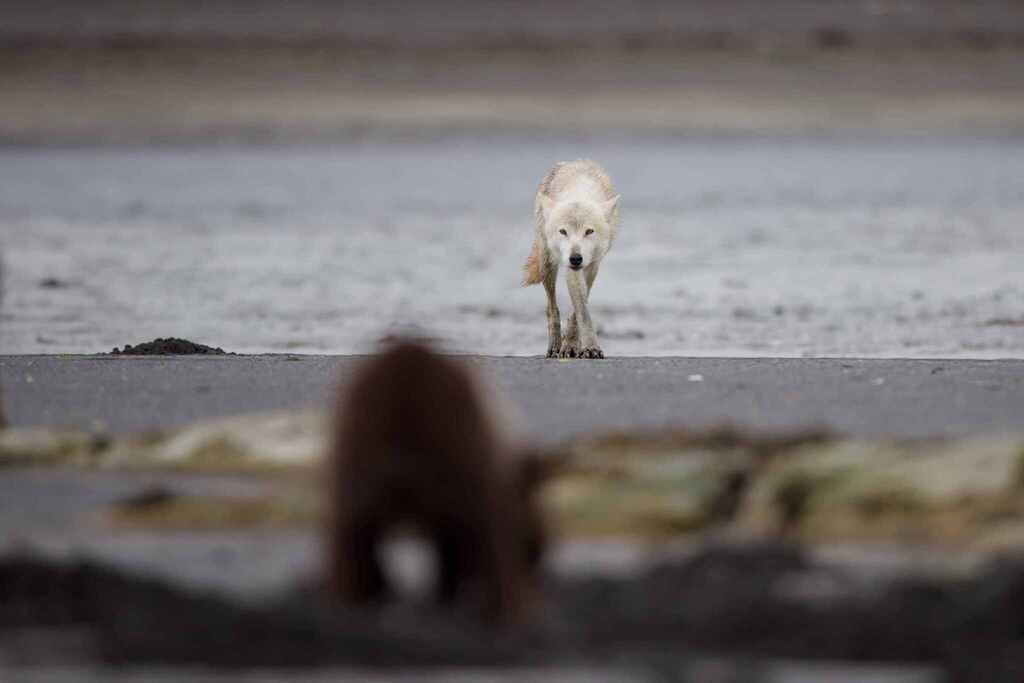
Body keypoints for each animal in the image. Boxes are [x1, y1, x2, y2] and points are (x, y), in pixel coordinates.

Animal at [522, 160, 620, 359]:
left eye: (589, 231)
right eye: (563, 231)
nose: (575, 258)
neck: (579, 189)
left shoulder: (592, 265)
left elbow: (577, 311)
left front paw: (574, 346)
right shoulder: (570, 268)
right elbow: (582, 310)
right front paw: (588, 347)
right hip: (547, 264)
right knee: (551, 308)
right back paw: (554, 346)